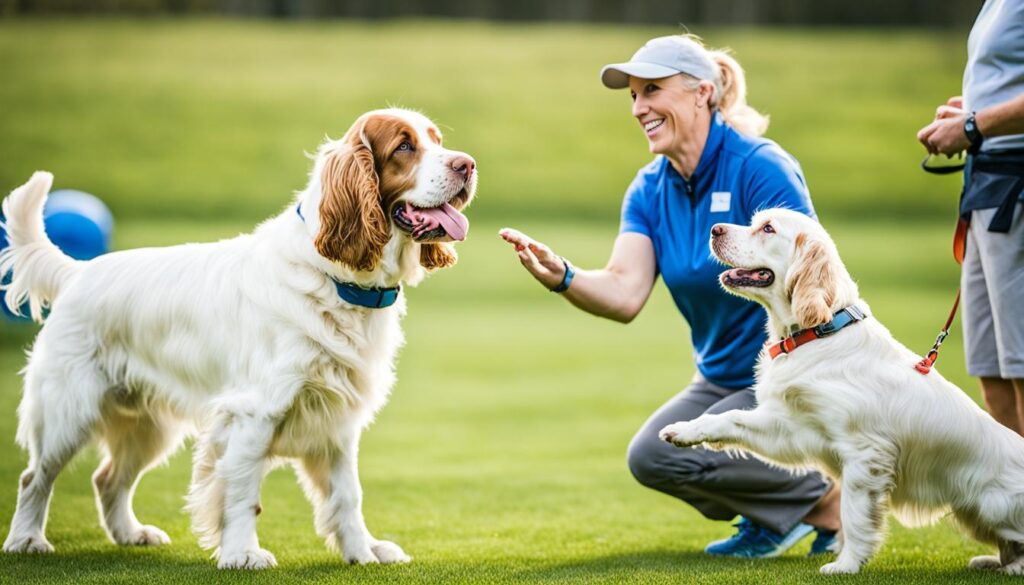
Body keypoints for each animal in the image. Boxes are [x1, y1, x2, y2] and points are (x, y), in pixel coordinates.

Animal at [0, 107, 473, 569]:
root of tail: (78, 272)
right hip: (67, 412)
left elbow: (346, 497)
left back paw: (131, 534)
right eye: (404, 146)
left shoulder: (336, 421)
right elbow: (244, 496)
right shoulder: (254, 414)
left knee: (108, 479)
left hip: (147, 425)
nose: (467, 165)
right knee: (34, 478)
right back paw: (26, 540)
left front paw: (364, 552)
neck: (335, 280)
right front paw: (242, 553)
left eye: (438, 140)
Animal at [659, 209, 1024, 577]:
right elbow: (730, 418)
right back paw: (992, 562)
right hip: (970, 512)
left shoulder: (863, 455)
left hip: (991, 505)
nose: (714, 229)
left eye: (768, 228)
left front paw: (846, 564)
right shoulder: (793, 430)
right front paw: (683, 430)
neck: (818, 332)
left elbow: (853, 515)